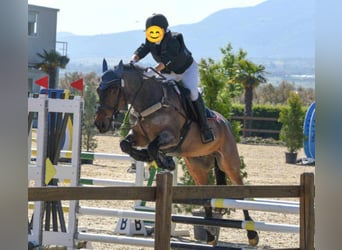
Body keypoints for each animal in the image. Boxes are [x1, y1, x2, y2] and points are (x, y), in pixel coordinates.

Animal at [94, 59, 260, 246]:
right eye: (98, 89)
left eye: (113, 89)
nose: (100, 124)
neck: (149, 101)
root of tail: (225, 121)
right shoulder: (140, 136)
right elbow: (125, 145)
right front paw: (148, 157)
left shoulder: (172, 136)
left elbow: (153, 147)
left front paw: (165, 161)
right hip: (196, 167)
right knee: (205, 195)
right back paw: (210, 235)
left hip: (228, 163)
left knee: (241, 192)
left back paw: (252, 235)